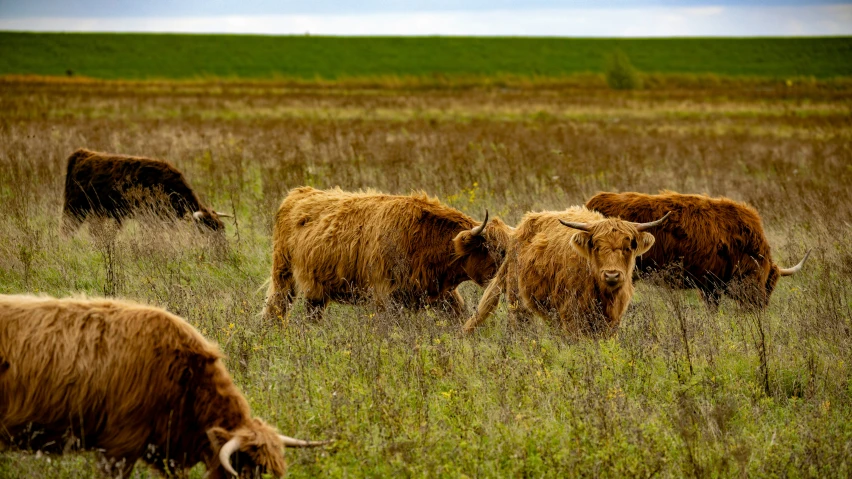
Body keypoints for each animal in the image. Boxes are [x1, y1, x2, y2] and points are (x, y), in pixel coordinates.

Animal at [260, 187, 512, 322]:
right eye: (498, 250)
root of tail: (298, 193)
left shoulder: (442, 294)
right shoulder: (385, 296)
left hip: (316, 292)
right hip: (283, 275)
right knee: (276, 308)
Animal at [462, 207, 668, 338]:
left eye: (627, 247)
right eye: (597, 246)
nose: (611, 275)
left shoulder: (613, 317)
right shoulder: (571, 313)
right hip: (517, 298)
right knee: (520, 326)